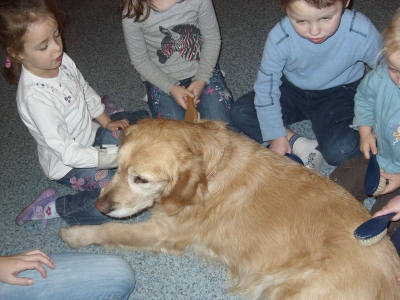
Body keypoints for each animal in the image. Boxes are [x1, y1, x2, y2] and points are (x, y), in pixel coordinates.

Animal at [59, 118, 400, 298]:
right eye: (116, 167)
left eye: (141, 179)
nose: (100, 204)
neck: (211, 169)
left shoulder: (161, 231)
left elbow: (109, 229)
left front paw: (76, 234)